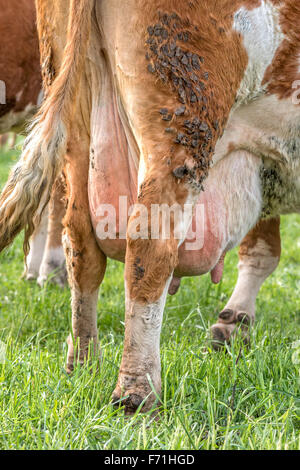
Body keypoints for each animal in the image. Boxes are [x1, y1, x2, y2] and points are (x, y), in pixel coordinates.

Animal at [0, 0, 298, 414]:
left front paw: (234, 323)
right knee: (149, 250)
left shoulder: (260, 159)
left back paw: (85, 363)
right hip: (182, 126)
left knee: (81, 246)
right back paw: (136, 392)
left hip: (76, 124)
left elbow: (261, 245)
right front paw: (234, 324)